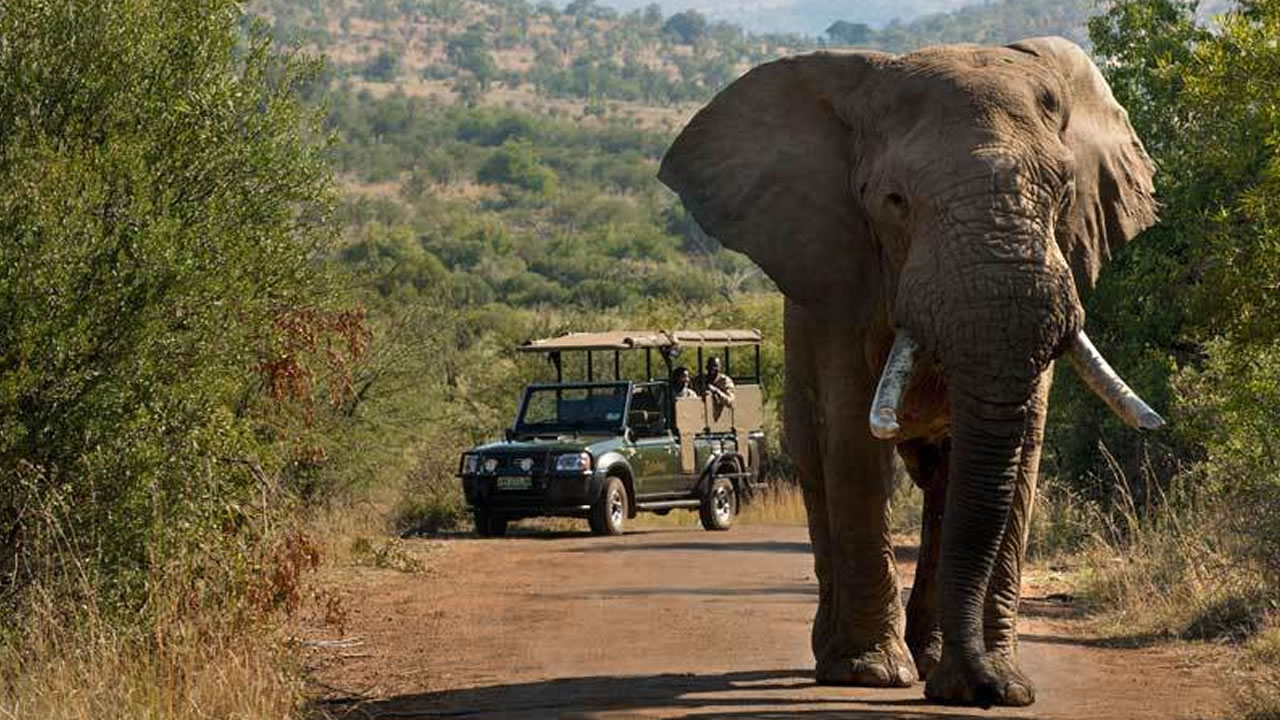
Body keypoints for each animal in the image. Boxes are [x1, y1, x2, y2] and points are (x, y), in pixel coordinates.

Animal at [665, 36, 1167, 702]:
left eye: (1063, 194)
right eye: (894, 202)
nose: (985, 689)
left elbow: (1022, 452)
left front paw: (999, 686)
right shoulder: (842, 283)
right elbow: (855, 444)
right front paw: (871, 674)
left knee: (942, 478)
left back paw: (930, 659)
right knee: (819, 464)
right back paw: (840, 656)